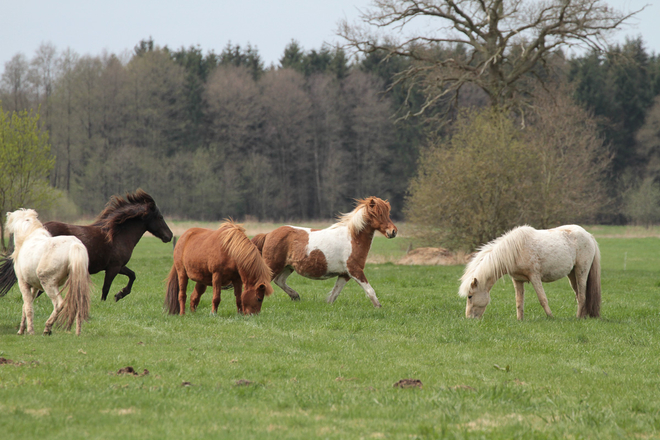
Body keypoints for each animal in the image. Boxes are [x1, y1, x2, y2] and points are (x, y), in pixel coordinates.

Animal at [0, 187, 173, 300]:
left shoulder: (117, 266)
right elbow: (106, 289)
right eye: (160, 217)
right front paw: (114, 297)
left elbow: (132, 275)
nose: (170, 236)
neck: (118, 235)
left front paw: (120, 294)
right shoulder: (113, 267)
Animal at [3, 208, 91, 336]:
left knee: (59, 304)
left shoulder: (23, 283)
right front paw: (21, 330)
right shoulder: (34, 286)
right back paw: (77, 332)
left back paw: (47, 328)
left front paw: (30, 331)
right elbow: (26, 306)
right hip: (77, 283)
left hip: (49, 284)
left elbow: (28, 307)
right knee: (79, 305)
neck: (28, 236)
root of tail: (74, 245)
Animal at [251, 196, 398, 306]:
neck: (352, 238)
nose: (393, 231)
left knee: (279, 280)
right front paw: (379, 307)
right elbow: (370, 290)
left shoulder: (344, 274)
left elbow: (334, 294)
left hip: (287, 267)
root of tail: (268, 234)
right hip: (273, 265)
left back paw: (296, 296)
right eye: (379, 214)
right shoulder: (355, 270)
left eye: (388, 213)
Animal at [456, 225, 600, 322]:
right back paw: (583, 316)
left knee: (582, 296)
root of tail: (589, 235)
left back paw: (578, 318)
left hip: (581, 270)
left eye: (470, 296)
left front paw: (551, 317)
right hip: (572, 274)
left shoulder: (535, 277)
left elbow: (542, 299)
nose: (469, 318)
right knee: (579, 295)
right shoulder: (517, 280)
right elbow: (519, 301)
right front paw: (520, 320)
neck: (515, 250)